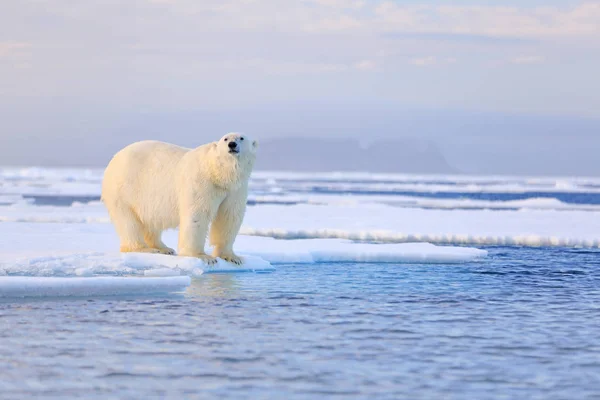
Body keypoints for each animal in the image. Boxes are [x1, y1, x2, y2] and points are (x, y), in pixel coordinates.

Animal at [101, 132, 255, 266]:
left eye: (241, 138)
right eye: (225, 139)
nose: (232, 144)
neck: (217, 173)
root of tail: (114, 160)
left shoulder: (235, 190)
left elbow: (229, 217)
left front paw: (232, 257)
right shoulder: (200, 182)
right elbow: (197, 215)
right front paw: (202, 257)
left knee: (150, 222)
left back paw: (164, 248)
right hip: (124, 190)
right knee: (128, 222)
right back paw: (144, 248)